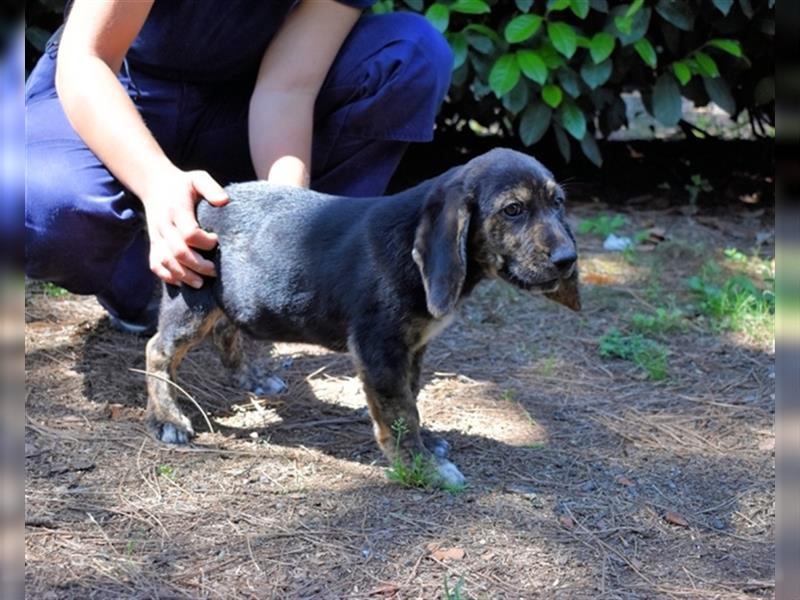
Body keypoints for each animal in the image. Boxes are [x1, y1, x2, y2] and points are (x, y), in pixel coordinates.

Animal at [145, 149, 580, 488]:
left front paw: (427, 444)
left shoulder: (412, 348)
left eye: (558, 202)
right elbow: (400, 412)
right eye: (513, 210)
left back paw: (252, 377)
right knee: (158, 350)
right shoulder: (380, 348)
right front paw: (422, 466)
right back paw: (169, 419)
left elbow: (411, 399)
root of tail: (204, 202)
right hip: (191, 297)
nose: (568, 259)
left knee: (226, 328)